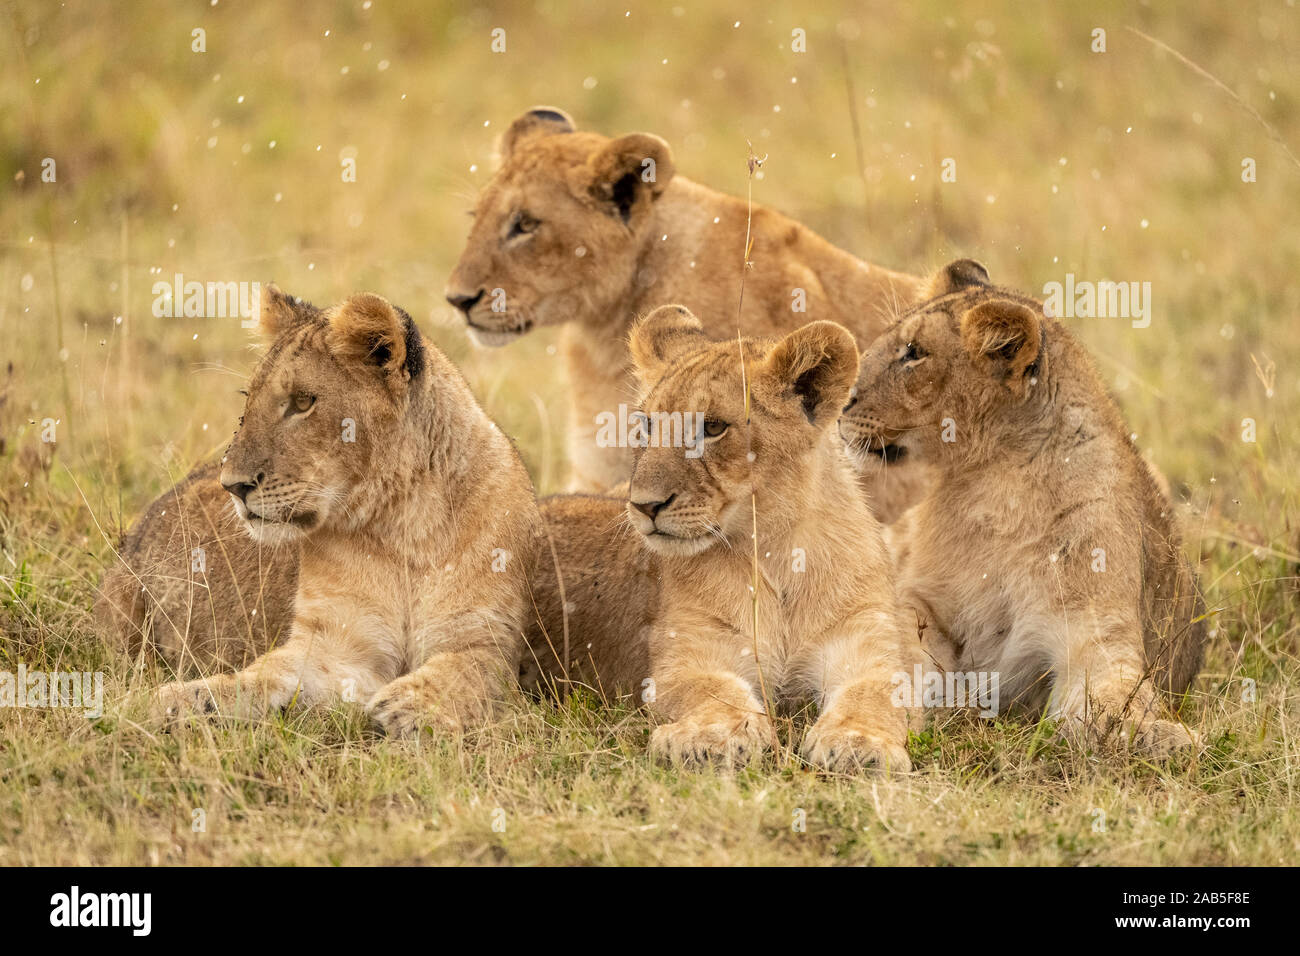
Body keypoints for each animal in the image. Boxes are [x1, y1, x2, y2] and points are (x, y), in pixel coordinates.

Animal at [148, 285, 541, 735]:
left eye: (302, 402)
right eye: (248, 400)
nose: (232, 485)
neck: (404, 522)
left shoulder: (488, 641)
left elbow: (463, 671)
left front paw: (408, 707)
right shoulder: (337, 645)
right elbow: (264, 676)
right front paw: (186, 700)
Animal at [620, 305, 919, 771]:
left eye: (713, 427)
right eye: (646, 426)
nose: (644, 505)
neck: (775, 549)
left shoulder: (867, 640)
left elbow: (871, 695)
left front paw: (858, 745)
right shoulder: (689, 650)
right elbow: (709, 689)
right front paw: (712, 737)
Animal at [839, 262, 1207, 754]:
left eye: (914, 353)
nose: (840, 400)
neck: (999, 485)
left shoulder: (1098, 633)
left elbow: (1115, 698)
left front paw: (1162, 736)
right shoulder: (917, 600)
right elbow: (906, 654)